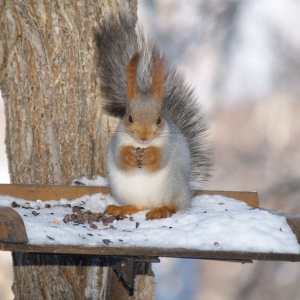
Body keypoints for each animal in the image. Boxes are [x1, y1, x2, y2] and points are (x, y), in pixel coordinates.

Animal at [95, 18, 211, 220]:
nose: (143, 137)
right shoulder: (117, 140)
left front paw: (150, 155)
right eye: (129, 117)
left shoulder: (169, 144)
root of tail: (186, 193)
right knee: (138, 206)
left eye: (158, 119)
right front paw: (129, 156)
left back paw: (162, 210)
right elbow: (119, 157)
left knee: (173, 206)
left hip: (172, 187)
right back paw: (122, 208)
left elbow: (160, 159)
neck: (141, 145)